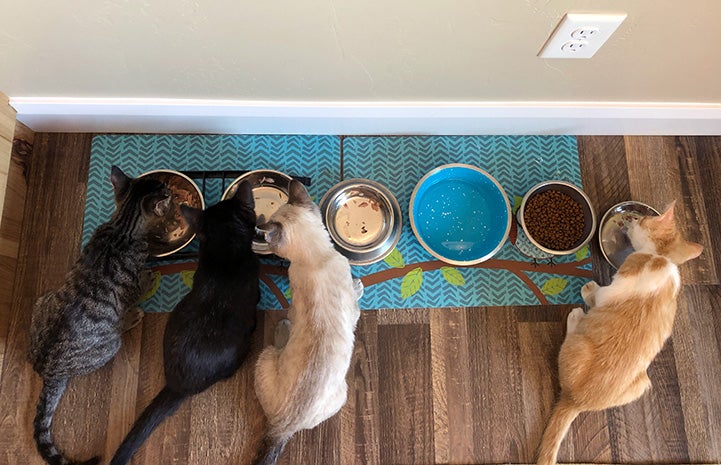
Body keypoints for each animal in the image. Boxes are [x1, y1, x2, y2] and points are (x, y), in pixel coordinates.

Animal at [28, 167, 172, 464]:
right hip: (111, 345)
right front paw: (148, 280)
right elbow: (139, 286)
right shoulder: (131, 284)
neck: (122, 226)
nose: (171, 191)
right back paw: (131, 318)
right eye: (165, 191)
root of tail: (47, 370)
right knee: (119, 328)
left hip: (41, 302)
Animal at [255, 180, 366, 464]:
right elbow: (356, 301)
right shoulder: (351, 309)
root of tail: (282, 427)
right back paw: (282, 327)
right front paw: (359, 285)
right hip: (273, 356)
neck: (316, 258)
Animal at [536, 200, 700, 464]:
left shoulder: (614, 286)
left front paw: (589, 290)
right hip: (642, 383)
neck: (660, 257)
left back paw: (576, 316)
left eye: (640, 220)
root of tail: (576, 400)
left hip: (578, 344)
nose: (632, 220)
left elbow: (599, 295)